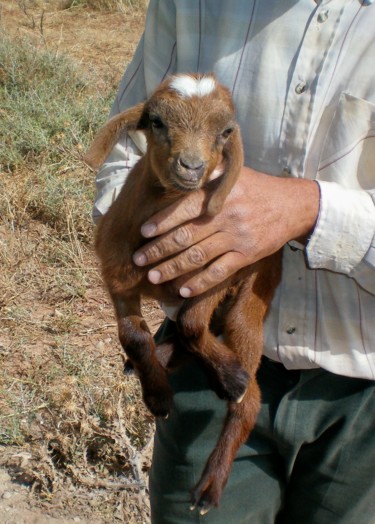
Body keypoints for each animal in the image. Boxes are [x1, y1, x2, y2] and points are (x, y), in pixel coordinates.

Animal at [86, 74, 282, 516]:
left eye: (225, 132)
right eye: (156, 122)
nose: (191, 166)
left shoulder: (215, 270)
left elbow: (193, 322)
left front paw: (231, 376)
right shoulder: (118, 279)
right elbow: (134, 335)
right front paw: (158, 395)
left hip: (253, 295)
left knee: (249, 396)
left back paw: (212, 480)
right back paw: (157, 362)